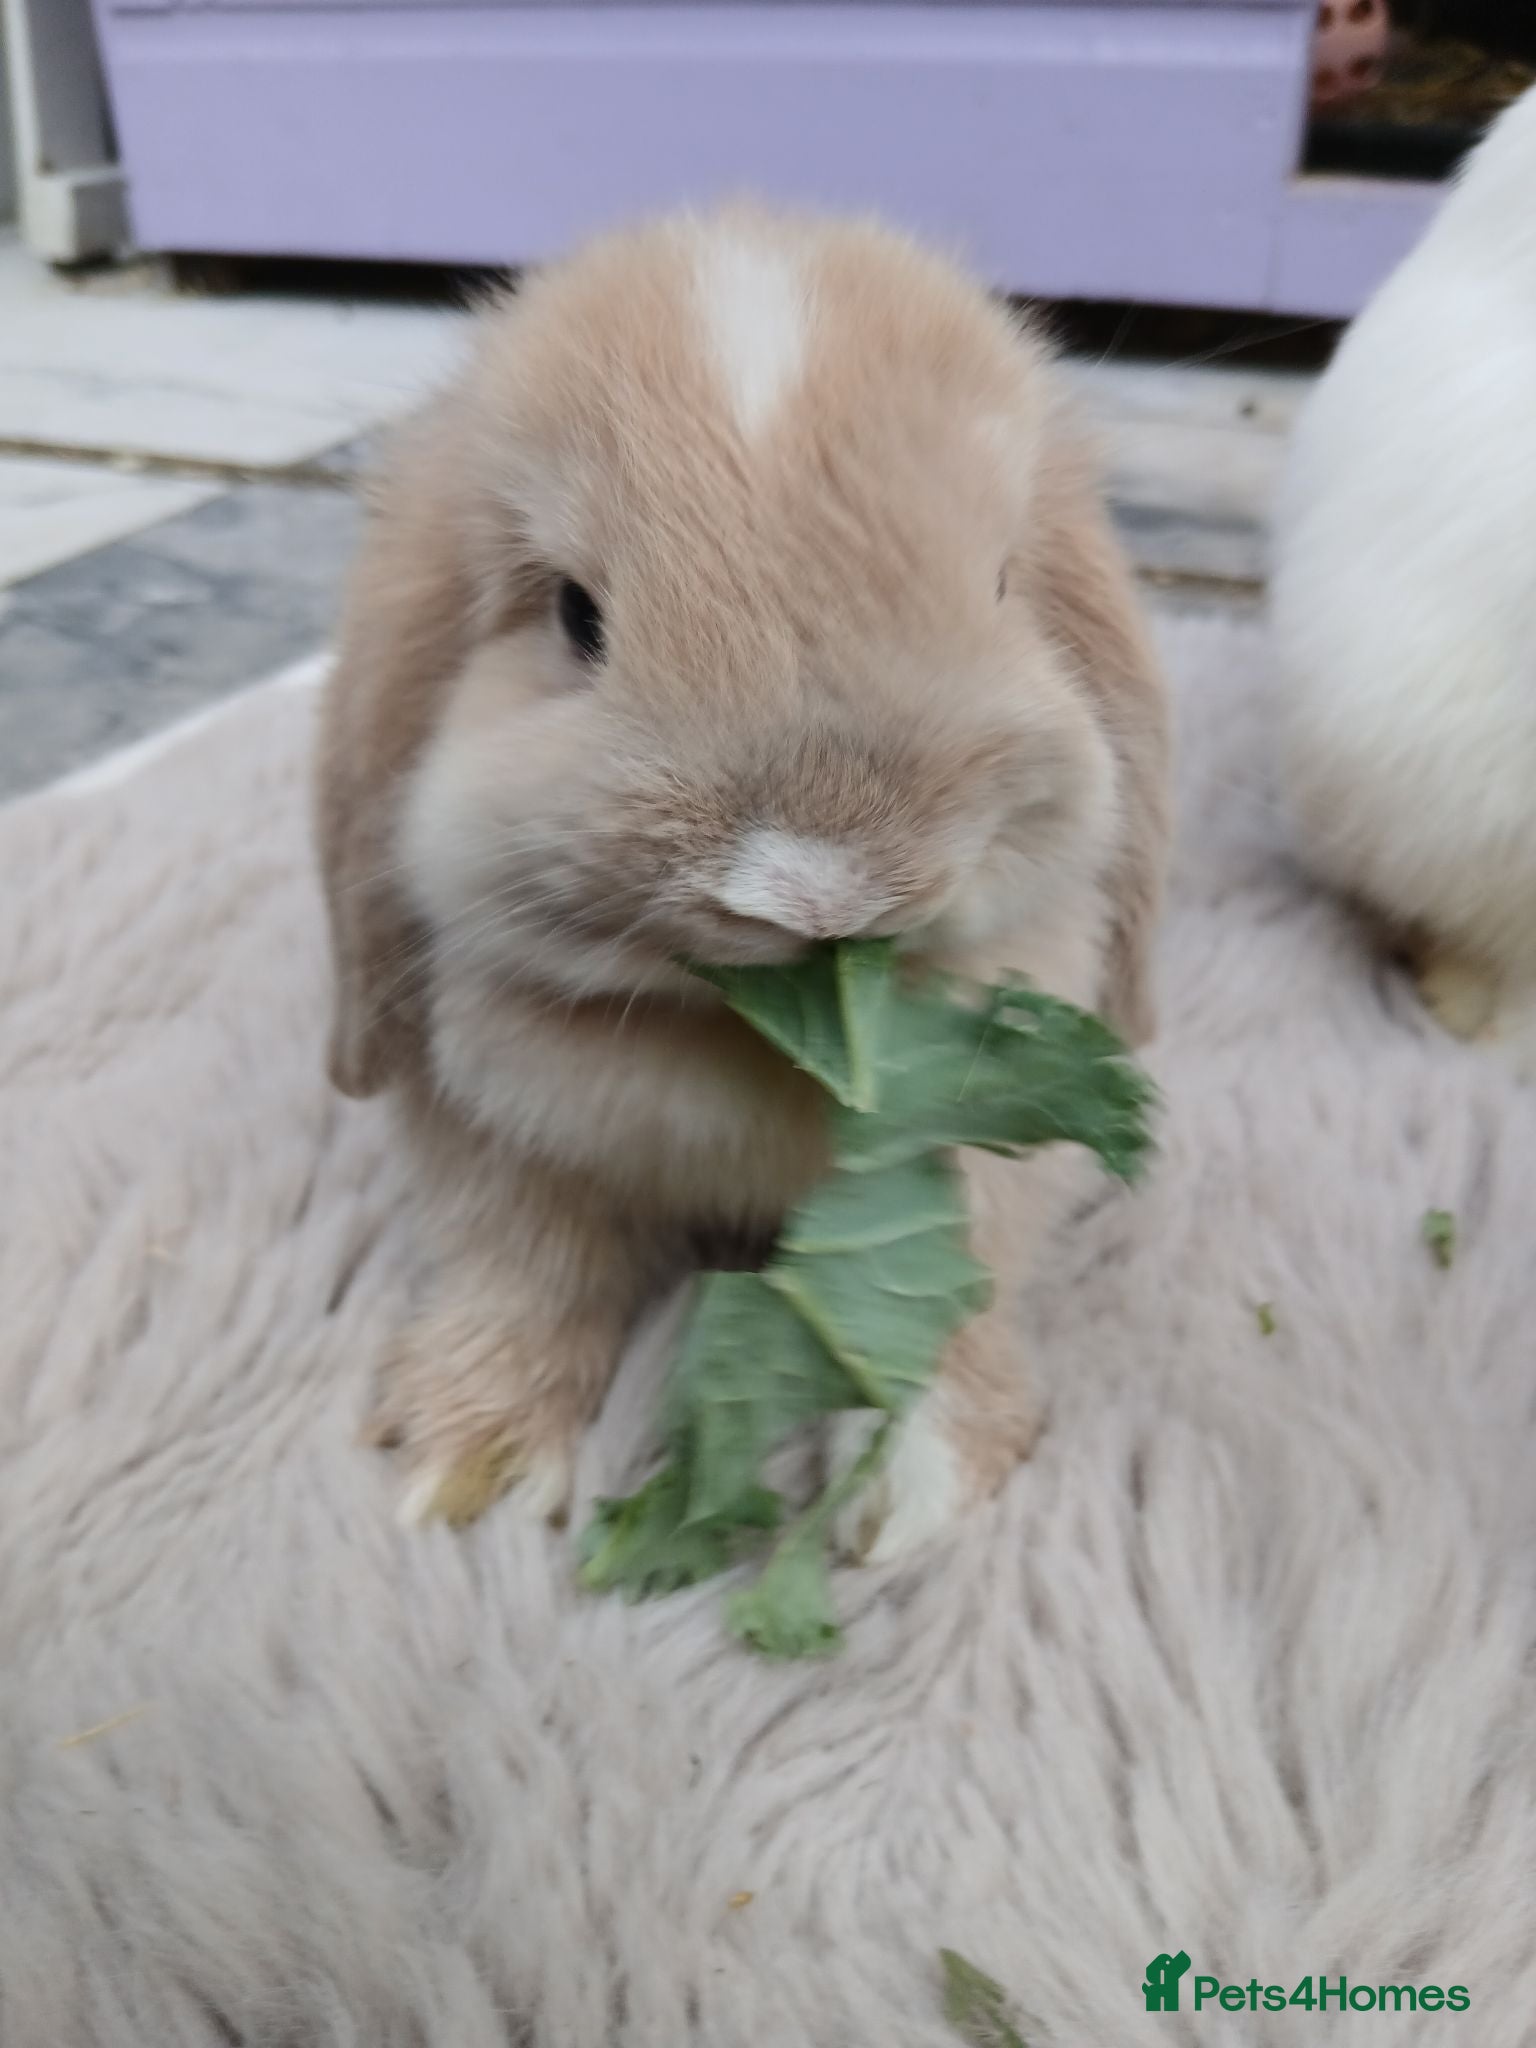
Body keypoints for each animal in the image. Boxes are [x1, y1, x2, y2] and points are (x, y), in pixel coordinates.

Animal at [314, 204, 1170, 1560]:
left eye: (999, 585)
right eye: (577, 614)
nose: (820, 885)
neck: (751, 1045)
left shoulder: (977, 1174)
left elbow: (956, 1302)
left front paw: (912, 1501)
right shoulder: (495, 1143)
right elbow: (527, 1271)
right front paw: (471, 1465)